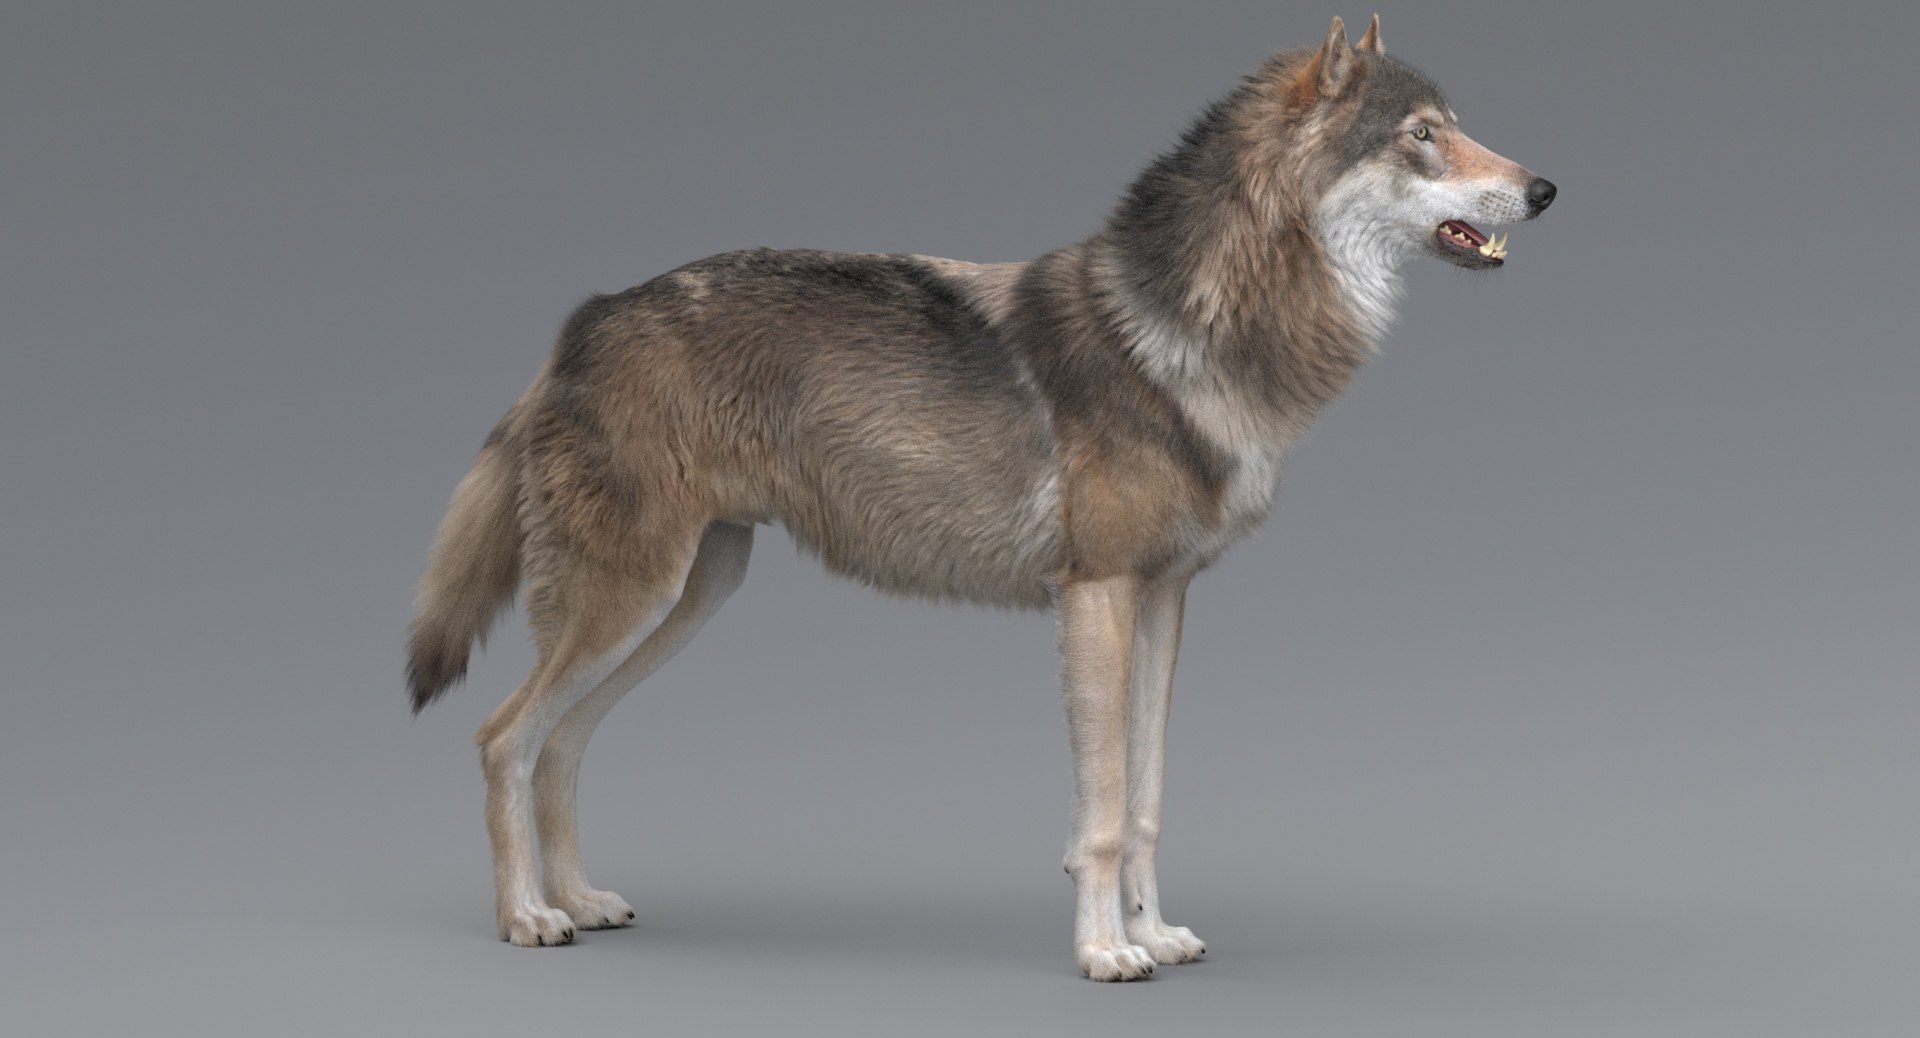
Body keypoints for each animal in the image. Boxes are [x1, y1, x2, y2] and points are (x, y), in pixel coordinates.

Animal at [406, 15, 1555, 981]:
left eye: (1457, 127)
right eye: (1423, 136)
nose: (1546, 188)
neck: (1191, 332)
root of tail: (582, 322)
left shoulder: (1164, 600)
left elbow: (1147, 801)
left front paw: (1155, 934)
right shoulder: (1095, 596)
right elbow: (1102, 811)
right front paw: (1104, 953)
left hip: (684, 601)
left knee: (559, 746)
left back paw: (582, 902)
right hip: (633, 602)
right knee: (502, 739)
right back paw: (528, 919)